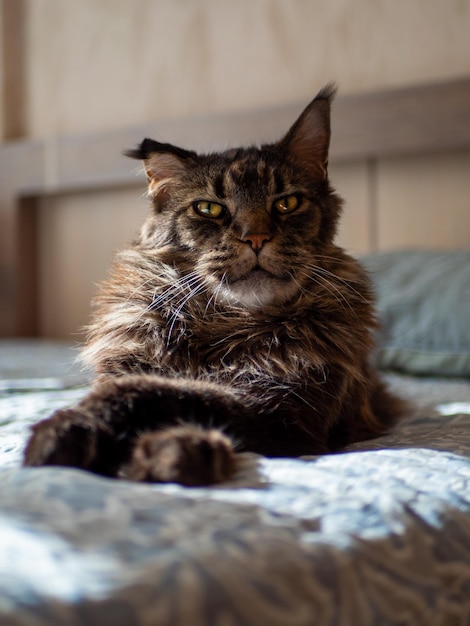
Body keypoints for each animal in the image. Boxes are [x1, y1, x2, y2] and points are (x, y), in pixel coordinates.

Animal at [23, 84, 404, 482]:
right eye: (209, 209)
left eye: (287, 203)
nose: (256, 238)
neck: (225, 325)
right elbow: (151, 387)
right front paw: (70, 432)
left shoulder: (283, 407)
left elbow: (170, 393)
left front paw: (172, 454)